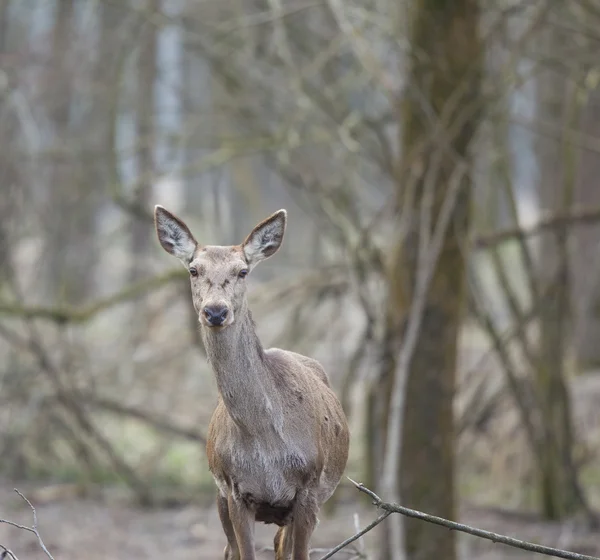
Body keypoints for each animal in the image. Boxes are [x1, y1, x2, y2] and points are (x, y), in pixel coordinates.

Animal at [155, 207, 350, 560]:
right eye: (193, 269)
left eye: (243, 271)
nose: (215, 311)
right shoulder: (235, 491)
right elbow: (244, 552)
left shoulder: (308, 489)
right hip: (219, 496)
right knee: (230, 550)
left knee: (281, 547)